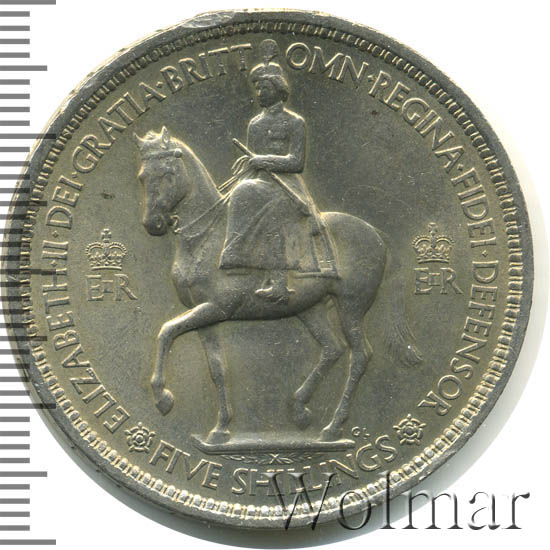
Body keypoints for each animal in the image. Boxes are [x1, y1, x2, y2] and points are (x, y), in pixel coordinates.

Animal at [133, 127, 421, 444]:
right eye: (143, 177)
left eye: (168, 174)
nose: (152, 224)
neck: (205, 238)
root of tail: (375, 233)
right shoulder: (205, 314)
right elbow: (216, 368)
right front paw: (220, 428)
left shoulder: (217, 308)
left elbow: (166, 332)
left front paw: (163, 397)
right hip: (309, 308)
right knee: (332, 348)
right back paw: (300, 409)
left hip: (351, 307)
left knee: (360, 355)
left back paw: (333, 427)